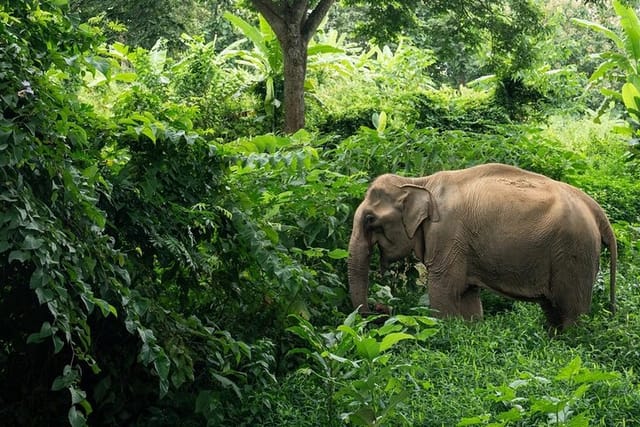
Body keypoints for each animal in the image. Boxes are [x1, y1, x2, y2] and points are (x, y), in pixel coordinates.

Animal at [348, 164, 616, 332]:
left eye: (370, 219)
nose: (379, 309)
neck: (417, 181)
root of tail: (595, 209)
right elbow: (467, 296)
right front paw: (471, 329)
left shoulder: (447, 236)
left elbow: (444, 291)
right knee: (552, 309)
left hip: (574, 253)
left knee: (571, 311)